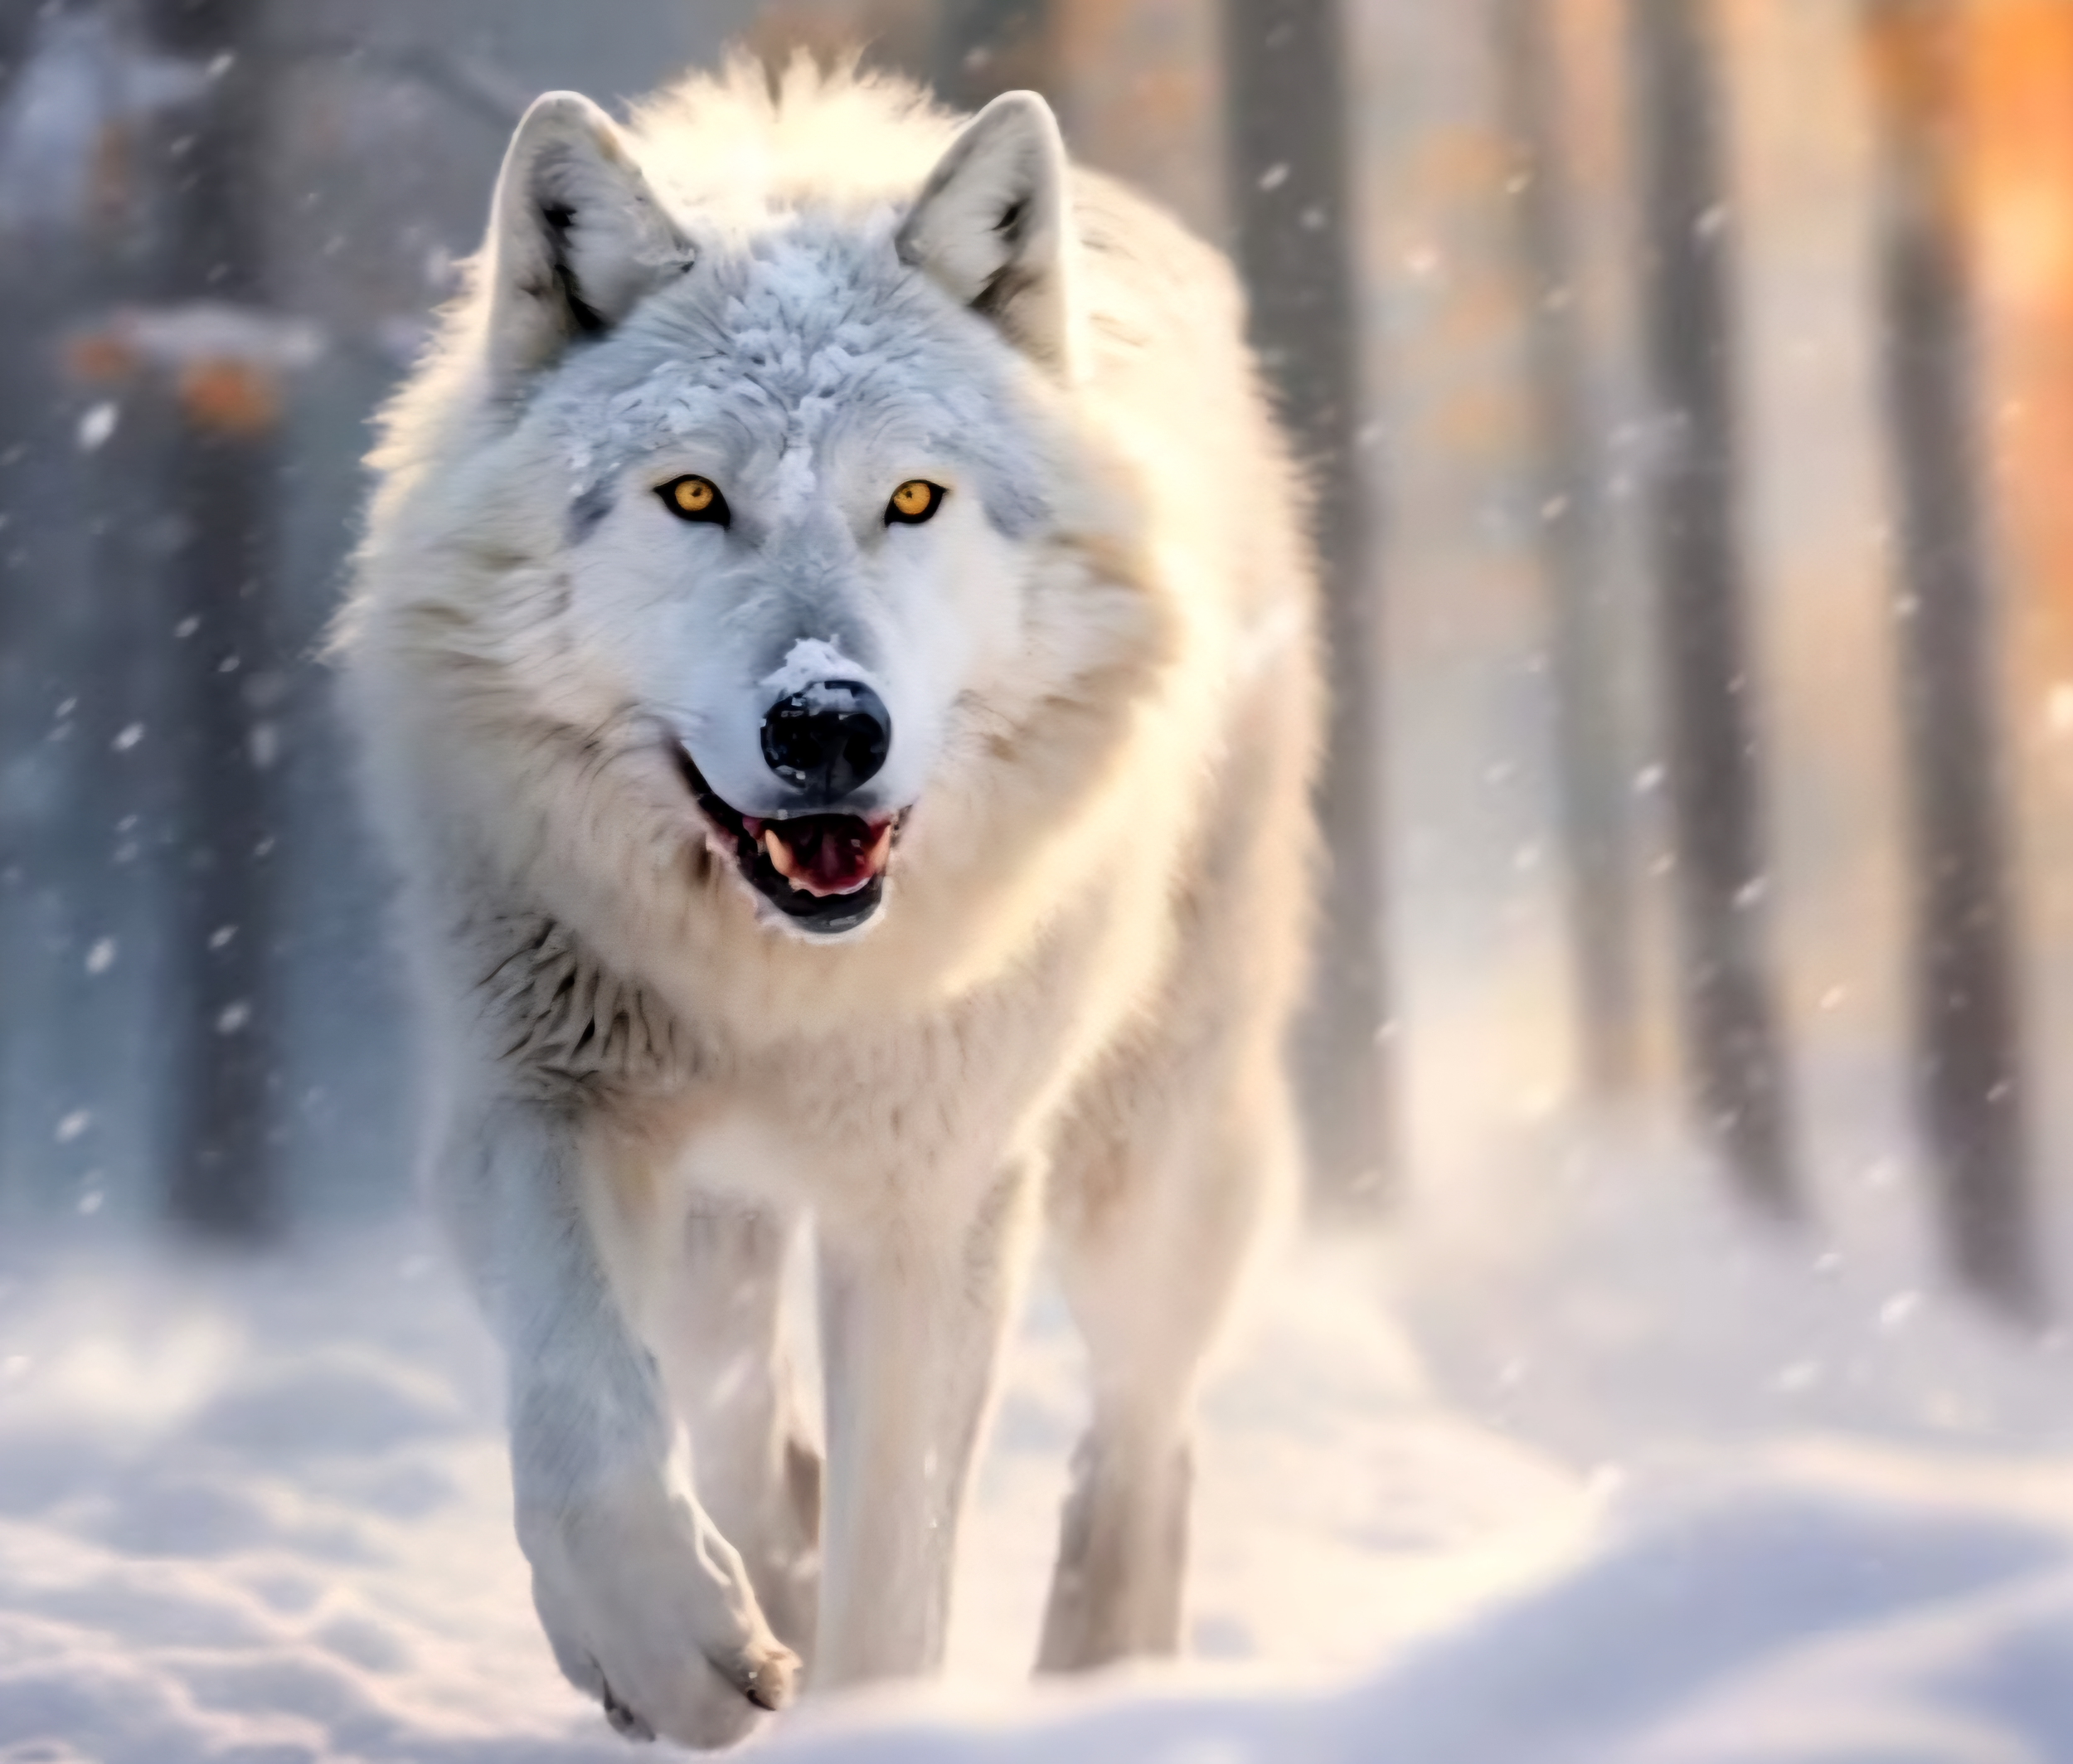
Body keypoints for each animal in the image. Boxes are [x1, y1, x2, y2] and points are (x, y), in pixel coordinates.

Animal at [339, 57, 1320, 1747]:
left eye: (913, 499)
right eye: (691, 496)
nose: (828, 725)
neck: (785, 990)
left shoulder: (935, 1196)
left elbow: (900, 1554)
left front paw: (864, 1705)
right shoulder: (534, 1103)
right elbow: (590, 1410)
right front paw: (670, 1646)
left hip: (1144, 1153)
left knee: (1145, 1432)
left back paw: (1106, 1680)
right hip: (728, 1206)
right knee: (740, 1403)